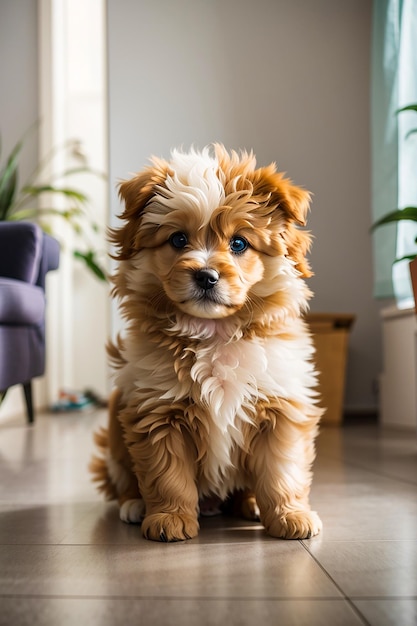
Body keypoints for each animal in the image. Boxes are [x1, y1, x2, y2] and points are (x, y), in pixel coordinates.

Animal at [91, 144, 324, 540]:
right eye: (178, 240)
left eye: (239, 243)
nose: (206, 275)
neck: (214, 333)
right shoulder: (158, 410)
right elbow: (168, 476)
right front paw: (169, 519)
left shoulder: (280, 408)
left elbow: (282, 471)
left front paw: (290, 515)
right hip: (115, 432)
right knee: (123, 479)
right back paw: (133, 505)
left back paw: (250, 504)